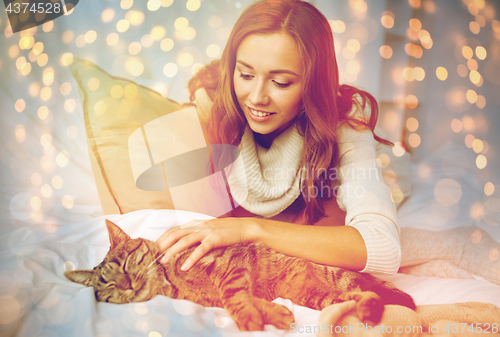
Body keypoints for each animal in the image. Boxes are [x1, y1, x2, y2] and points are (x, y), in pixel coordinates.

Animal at [64, 219, 414, 330]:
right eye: (108, 284)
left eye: (125, 264)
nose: (127, 285)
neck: (168, 283)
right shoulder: (222, 295)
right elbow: (249, 301)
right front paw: (273, 314)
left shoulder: (231, 266)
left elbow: (235, 297)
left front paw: (250, 319)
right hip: (321, 298)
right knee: (355, 296)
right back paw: (367, 308)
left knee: (368, 291)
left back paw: (373, 307)